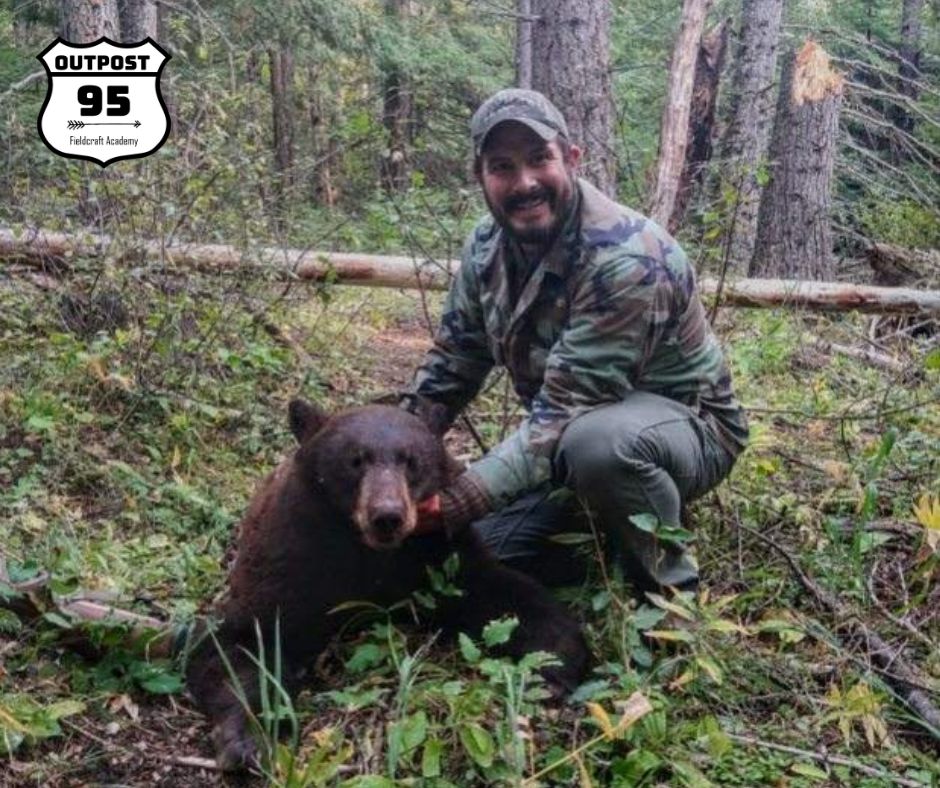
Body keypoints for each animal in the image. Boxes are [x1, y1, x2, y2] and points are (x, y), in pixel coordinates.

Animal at [185, 399, 589, 771]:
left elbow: (503, 597)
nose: (387, 516)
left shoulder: (436, 555)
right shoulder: (294, 558)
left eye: (410, 460)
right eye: (355, 461)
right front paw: (246, 738)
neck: (368, 552)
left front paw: (558, 662)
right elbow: (239, 640)